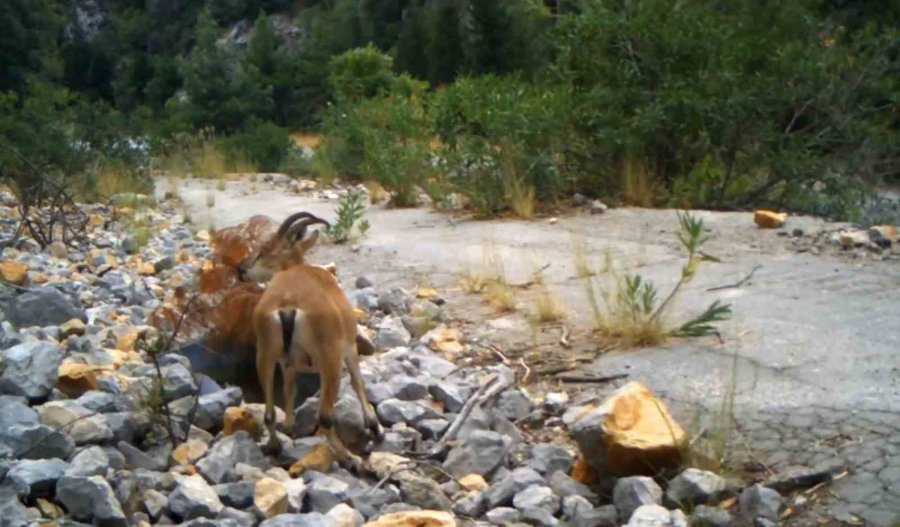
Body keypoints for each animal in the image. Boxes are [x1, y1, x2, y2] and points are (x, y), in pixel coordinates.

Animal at [241, 212, 382, 468]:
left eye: (264, 249)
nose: (242, 270)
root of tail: (288, 304)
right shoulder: (349, 348)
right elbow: (358, 382)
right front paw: (374, 425)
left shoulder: (287, 363)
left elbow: (290, 389)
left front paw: (289, 426)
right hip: (330, 360)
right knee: (325, 416)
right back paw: (350, 458)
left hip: (265, 355)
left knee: (269, 413)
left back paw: (274, 446)